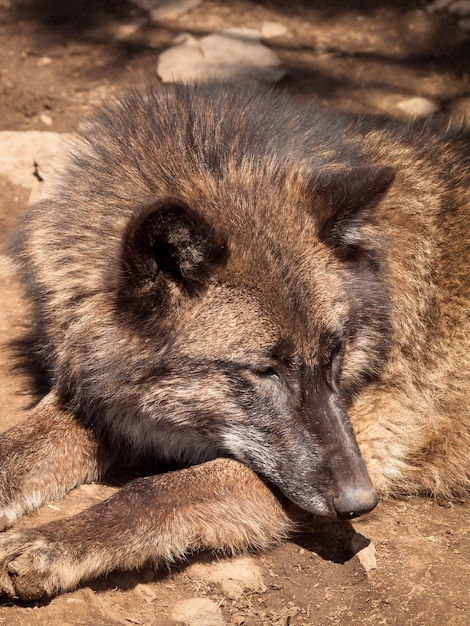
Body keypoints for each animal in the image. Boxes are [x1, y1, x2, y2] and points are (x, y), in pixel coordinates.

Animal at [0, 80, 468, 596]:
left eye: (335, 354)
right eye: (265, 370)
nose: (360, 502)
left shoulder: (366, 438)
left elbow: (155, 489)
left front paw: (52, 543)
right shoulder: (98, 398)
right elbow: (17, 450)